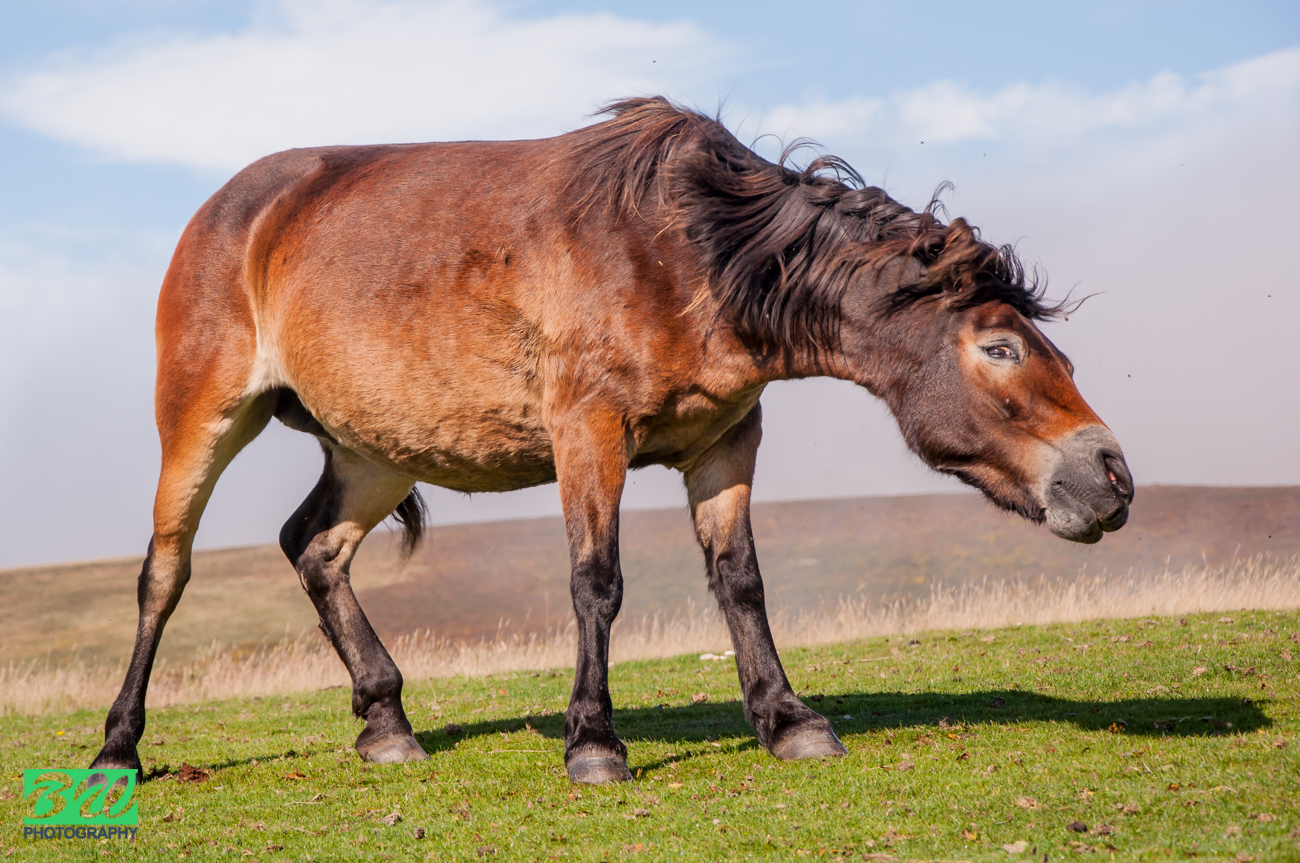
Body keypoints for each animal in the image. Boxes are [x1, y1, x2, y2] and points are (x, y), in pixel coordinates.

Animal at [89, 97, 1133, 786]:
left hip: (373, 452)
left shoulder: (727, 441)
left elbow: (741, 582)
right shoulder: (587, 432)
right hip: (201, 421)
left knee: (314, 548)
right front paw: (594, 740)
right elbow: (597, 580)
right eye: (999, 347)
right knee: (165, 573)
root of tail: (235, 207)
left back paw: (387, 721)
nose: (1112, 475)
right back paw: (117, 748)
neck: (688, 250)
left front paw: (787, 718)